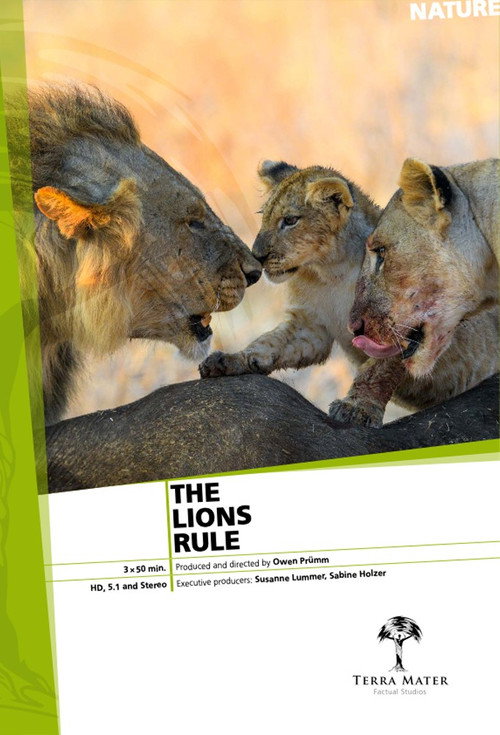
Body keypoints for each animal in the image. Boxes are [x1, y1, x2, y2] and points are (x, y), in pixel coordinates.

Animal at [199, 160, 498, 427]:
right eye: (264, 217)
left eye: (290, 220)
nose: (258, 256)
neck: (331, 271)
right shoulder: (310, 326)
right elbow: (269, 343)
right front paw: (231, 360)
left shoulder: (403, 317)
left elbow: (377, 370)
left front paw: (357, 408)